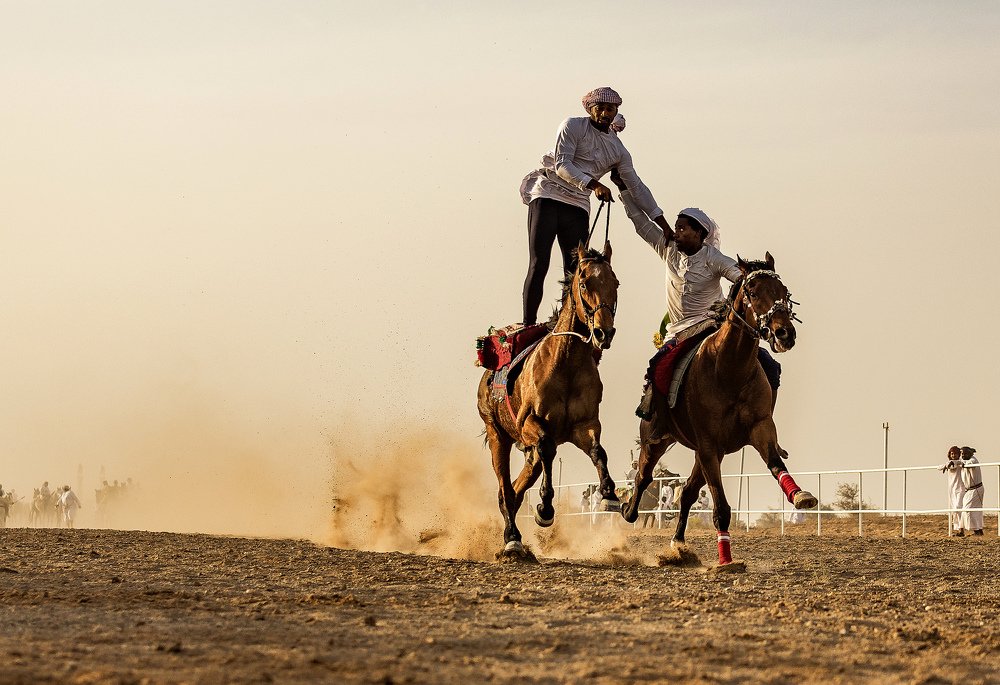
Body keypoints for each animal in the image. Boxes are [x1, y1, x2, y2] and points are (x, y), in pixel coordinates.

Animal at [478, 242, 620, 560]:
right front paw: (545, 508)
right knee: (505, 489)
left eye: (615, 283)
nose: (604, 332)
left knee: (517, 489)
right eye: (584, 283)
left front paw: (609, 495)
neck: (565, 363)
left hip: (526, 452)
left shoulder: (583, 425)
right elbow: (545, 447)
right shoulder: (530, 424)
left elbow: (599, 452)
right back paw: (513, 539)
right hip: (498, 434)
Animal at [621, 253, 817, 567]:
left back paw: (678, 544)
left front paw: (800, 495)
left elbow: (776, 464)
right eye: (753, 293)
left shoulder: (759, 429)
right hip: (657, 440)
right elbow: (721, 508)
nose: (784, 332)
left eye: (783, 291)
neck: (728, 370)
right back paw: (628, 511)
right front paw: (726, 561)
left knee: (687, 492)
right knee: (644, 476)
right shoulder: (708, 445)